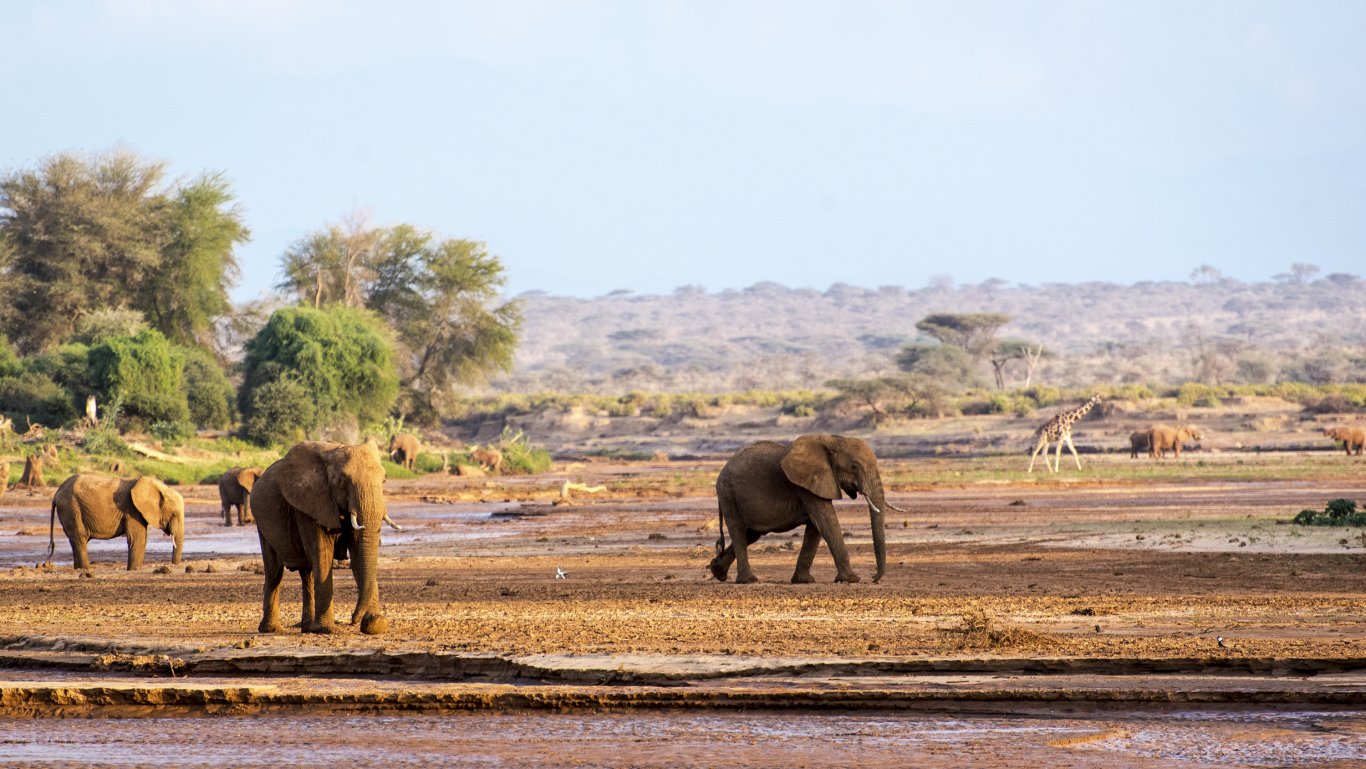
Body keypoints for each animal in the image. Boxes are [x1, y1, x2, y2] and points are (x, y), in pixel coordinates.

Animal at [48, 472, 184, 573]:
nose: (173, 566)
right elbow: (137, 538)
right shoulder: (131, 509)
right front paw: (134, 570)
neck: (158, 486)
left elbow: (142, 538)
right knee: (80, 538)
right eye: (174, 514)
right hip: (71, 508)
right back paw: (86, 569)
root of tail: (56, 493)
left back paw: (78, 569)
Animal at [252, 442, 390, 633]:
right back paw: (271, 629)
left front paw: (376, 625)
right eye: (342, 482)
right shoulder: (309, 504)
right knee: (274, 572)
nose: (352, 619)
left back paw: (308, 628)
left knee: (307, 573)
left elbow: (358, 556)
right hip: (262, 524)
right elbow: (323, 555)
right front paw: (327, 629)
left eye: (383, 481)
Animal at [710, 437, 901, 587]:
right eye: (855, 467)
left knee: (751, 535)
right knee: (738, 532)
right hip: (728, 494)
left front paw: (804, 581)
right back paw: (748, 580)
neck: (832, 440)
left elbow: (815, 527)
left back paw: (716, 570)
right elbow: (825, 521)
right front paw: (852, 579)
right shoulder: (806, 485)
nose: (874, 578)